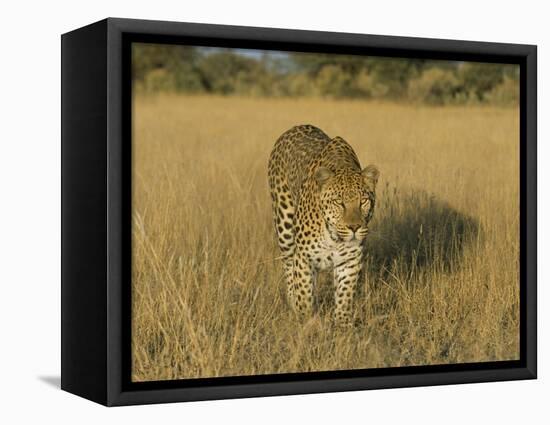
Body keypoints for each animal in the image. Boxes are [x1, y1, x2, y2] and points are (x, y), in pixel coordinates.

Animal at [268, 122, 380, 324]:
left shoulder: (350, 260)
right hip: (284, 228)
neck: (333, 236)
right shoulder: (304, 258)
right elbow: (304, 294)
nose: (354, 227)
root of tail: (297, 126)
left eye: (363, 201)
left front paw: (342, 324)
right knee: (288, 266)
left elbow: (344, 295)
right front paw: (305, 321)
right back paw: (292, 301)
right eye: (338, 202)